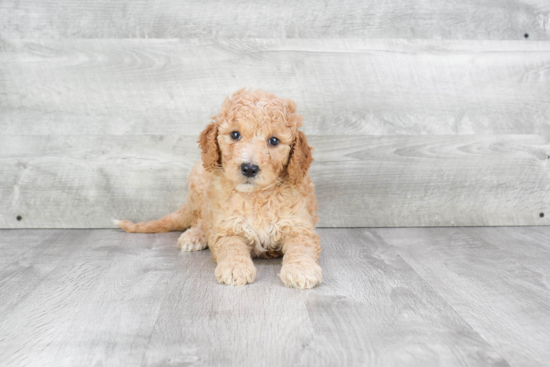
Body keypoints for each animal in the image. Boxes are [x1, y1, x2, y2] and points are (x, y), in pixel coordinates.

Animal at [117, 89, 324, 290]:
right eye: (235, 135)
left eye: (274, 140)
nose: (249, 168)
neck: (255, 197)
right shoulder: (226, 227)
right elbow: (231, 247)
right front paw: (235, 268)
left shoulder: (299, 227)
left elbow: (301, 247)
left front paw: (301, 269)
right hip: (198, 180)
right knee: (199, 218)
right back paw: (195, 235)